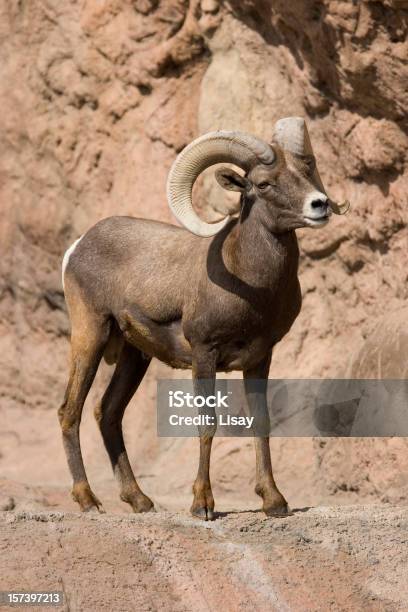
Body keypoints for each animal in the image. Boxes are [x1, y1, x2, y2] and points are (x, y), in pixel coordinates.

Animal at [59, 117, 348, 520]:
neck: (252, 285)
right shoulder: (204, 352)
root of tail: (78, 247)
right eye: (264, 183)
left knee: (108, 411)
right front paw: (203, 505)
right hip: (91, 335)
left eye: (307, 171)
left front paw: (275, 502)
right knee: (70, 411)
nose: (319, 205)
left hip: (135, 356)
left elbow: (261, 422)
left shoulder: (260, 357)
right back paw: (88, 500)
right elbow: (207, 423)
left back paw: (140, 500)